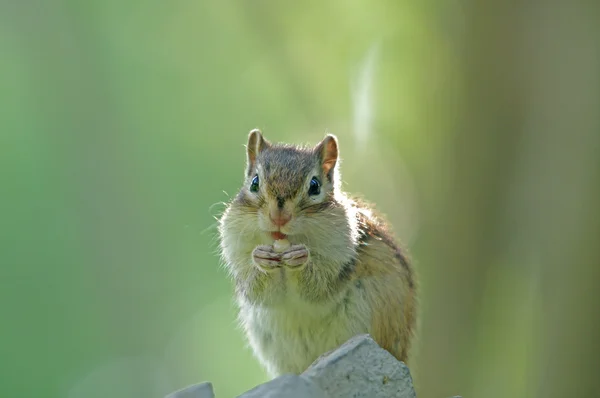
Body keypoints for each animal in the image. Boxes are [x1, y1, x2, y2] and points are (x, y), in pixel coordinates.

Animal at [218, 130, 420, 376]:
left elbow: (318, 287)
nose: (279, 217)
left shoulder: (340, 261)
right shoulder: (238, 254)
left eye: (314, 185)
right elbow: (262, 292)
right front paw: (261, 258)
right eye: (255, 182)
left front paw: (301, 258)